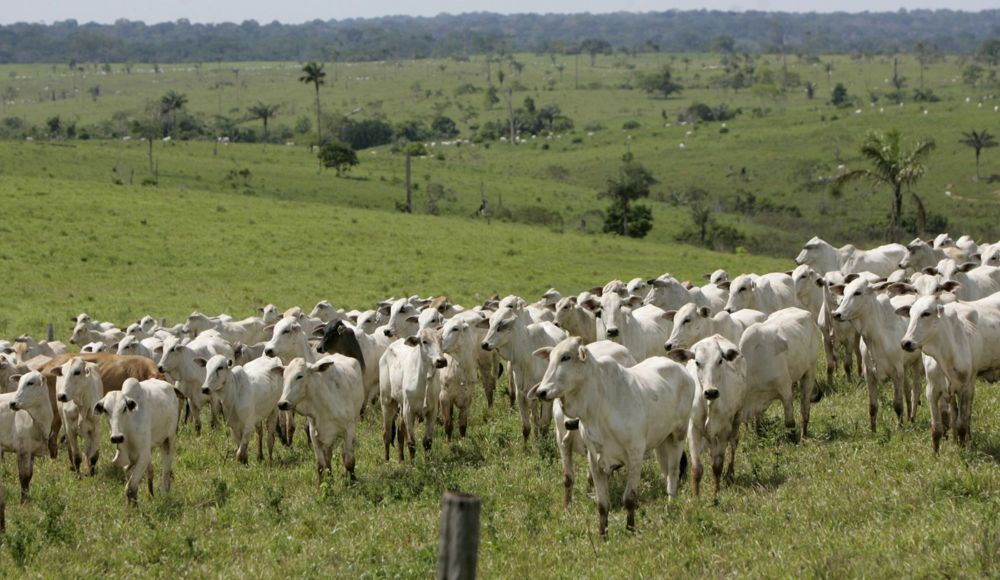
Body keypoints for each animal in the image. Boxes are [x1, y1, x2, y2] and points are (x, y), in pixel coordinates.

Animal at [532, 338, 696, 536]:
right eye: (549, 359)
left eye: (566, 357)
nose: (541, 391)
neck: (598, 406)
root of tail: (682, 370)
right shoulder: (594, 461)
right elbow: (602, 504)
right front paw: (603, 535)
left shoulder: (635, 455)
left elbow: (629, 498)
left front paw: (631, 530)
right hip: (662, 441)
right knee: (666, 472)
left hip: (678, 435)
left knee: (673, 473)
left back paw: (671, 506)